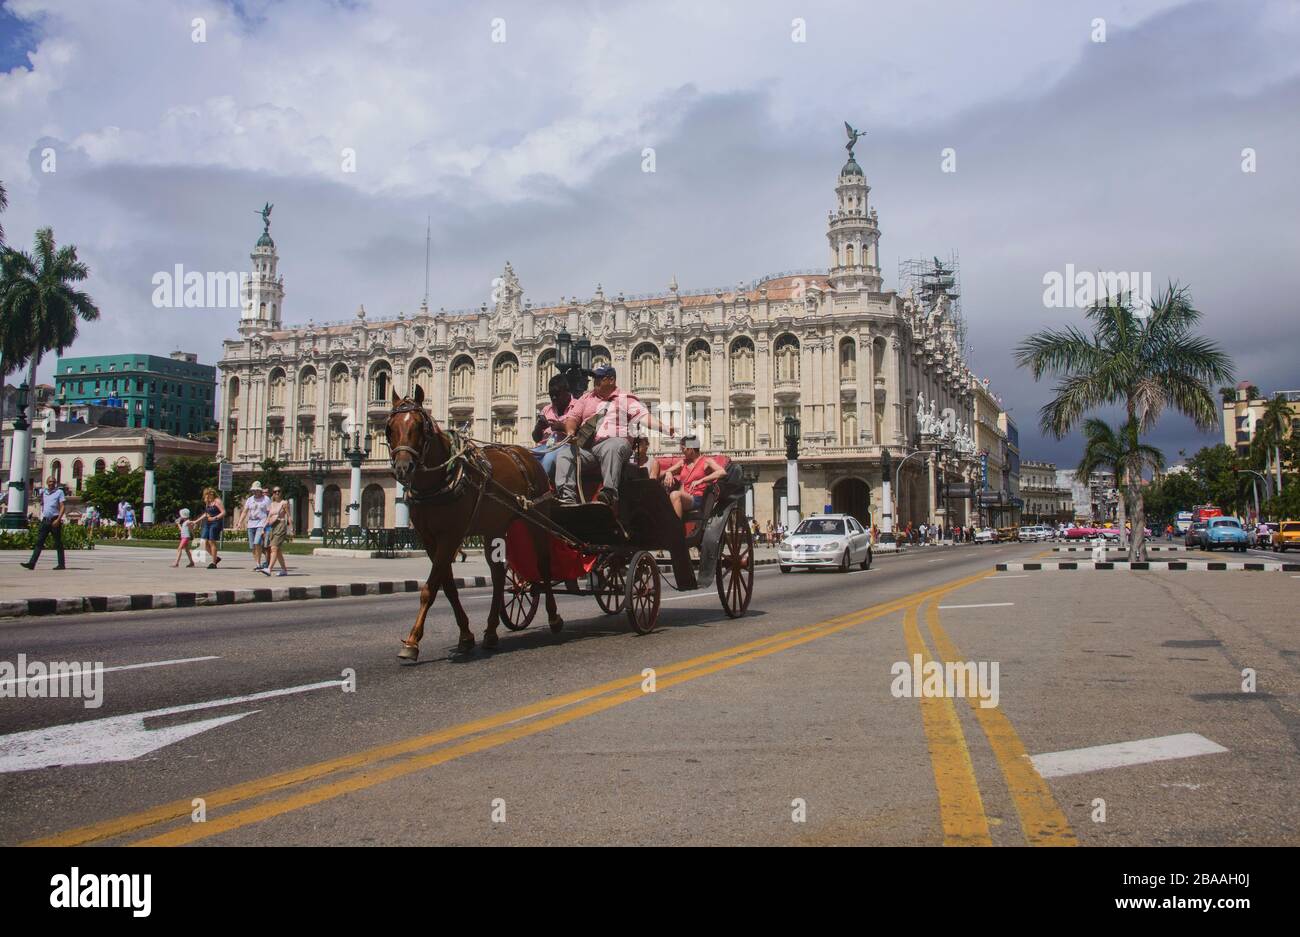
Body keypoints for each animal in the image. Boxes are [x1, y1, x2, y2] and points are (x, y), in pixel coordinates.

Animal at [382, 387, 561, 657]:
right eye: (390, 428)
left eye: (419, 426)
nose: (404, 467)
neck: (439, 480)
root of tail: (526, 454)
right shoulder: (429, 539)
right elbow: (447, 586)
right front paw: (466, 636)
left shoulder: (451, 536)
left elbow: (429, 588)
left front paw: (412, 642)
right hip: (495, 528)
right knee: (498, 576)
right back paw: (491, 632)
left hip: (536, 521)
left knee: (544, 565)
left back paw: (553, 617)